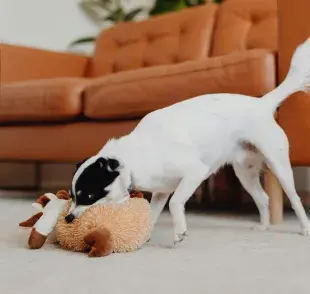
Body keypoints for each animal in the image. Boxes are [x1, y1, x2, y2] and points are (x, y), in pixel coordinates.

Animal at [67, 37, 310, 243]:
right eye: (72, 195)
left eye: (88, 195)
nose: (68, 218)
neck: (134, 158)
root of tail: (263, 103)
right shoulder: (161, 191)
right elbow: (153, 214)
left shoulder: (194, 172)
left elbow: (176, 203)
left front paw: (179, 233)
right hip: (245, 173)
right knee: (263, 198)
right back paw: (264, 226)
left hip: (278, 166)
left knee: (295, 200)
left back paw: (304, 228)